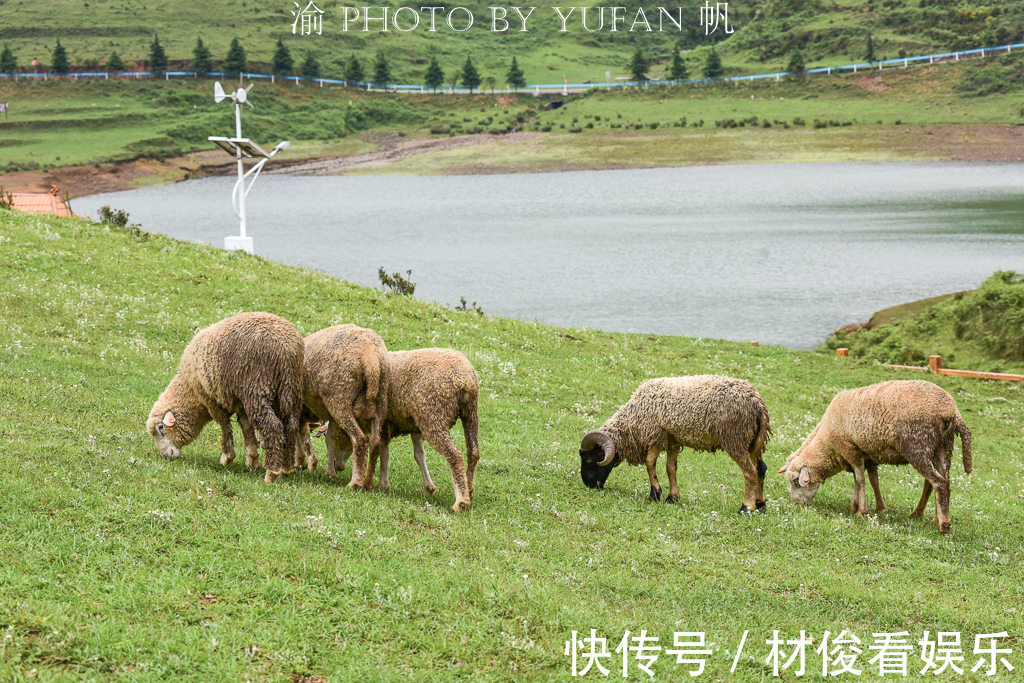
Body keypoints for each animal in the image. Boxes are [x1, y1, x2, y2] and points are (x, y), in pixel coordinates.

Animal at [146, 313, 303, 483]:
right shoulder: (241, 403)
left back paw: (271, 472)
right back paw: (286, 468)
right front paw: (252, 459)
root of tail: (286, 349)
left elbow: (225, 426)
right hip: (292, 390)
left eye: (161, 428)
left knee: (273, 427)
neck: (190, 390)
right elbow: (246, 428)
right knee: (291, 426)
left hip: (257, 389)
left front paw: (227, 458)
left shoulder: (212, 400)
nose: (166, 457)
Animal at [301, 325, 389, 491]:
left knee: (359, 440)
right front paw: (329, 472)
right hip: (380, 404)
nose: (339, 467)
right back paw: (368, 482)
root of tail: (370, 358)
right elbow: (330, 439)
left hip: (340, 398)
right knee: (375, 444)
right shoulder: (331, 418)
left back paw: (354, 483)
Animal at [329, 350, 485, 509]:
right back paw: (469, 489)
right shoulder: (413, 426)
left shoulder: (385, 423)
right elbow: (419, 455)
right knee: (473, 452)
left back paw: (461, 501)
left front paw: (383, 484)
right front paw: (428, 487)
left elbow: (383, 452)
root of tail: (464, 379)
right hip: (470, 414)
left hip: (433, 416)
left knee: (455, 456)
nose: (336, 466)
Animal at [581, 376, 770, 516]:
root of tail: (757, 404)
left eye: (590, 460)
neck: (633, 421)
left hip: (735, 438)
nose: (589, 485)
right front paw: (672, 497)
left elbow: (650, 463)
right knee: (761, 468)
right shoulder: (673, 440)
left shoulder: (655, 435)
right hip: (755, 442)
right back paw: (760, 504)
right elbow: (671, 468)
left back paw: (746, 508)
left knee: (750, 472)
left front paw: (655, 494)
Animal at [778, 378, 970, 532]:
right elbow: (871, 480)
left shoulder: (851, 450)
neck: (827, 444)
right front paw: (873, 507)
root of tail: (951, 411)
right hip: (943, 448)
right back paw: (931, 517)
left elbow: (860, 480)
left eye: (795, 481)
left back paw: (943, 525)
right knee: (942, 481)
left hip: (917, 445)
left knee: (938, 482)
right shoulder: (867, 456)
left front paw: (861, 512)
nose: (796, 505)